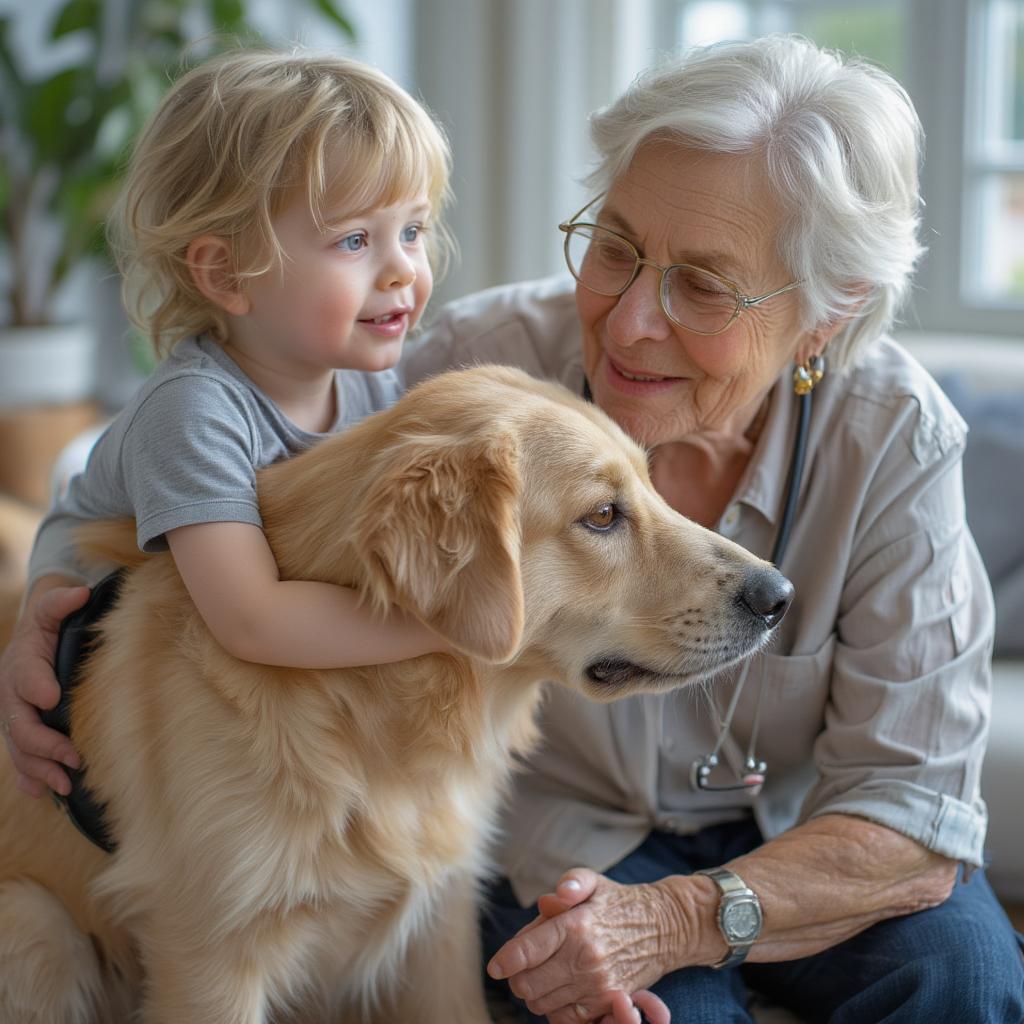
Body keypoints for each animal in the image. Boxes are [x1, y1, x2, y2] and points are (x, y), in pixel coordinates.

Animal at [0, 368, 790, 1024]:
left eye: (654, 488)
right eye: (601, 516)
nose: (779, 596)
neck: (371, 713)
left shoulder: (440, 920)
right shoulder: (207, 955)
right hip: (37, 929)